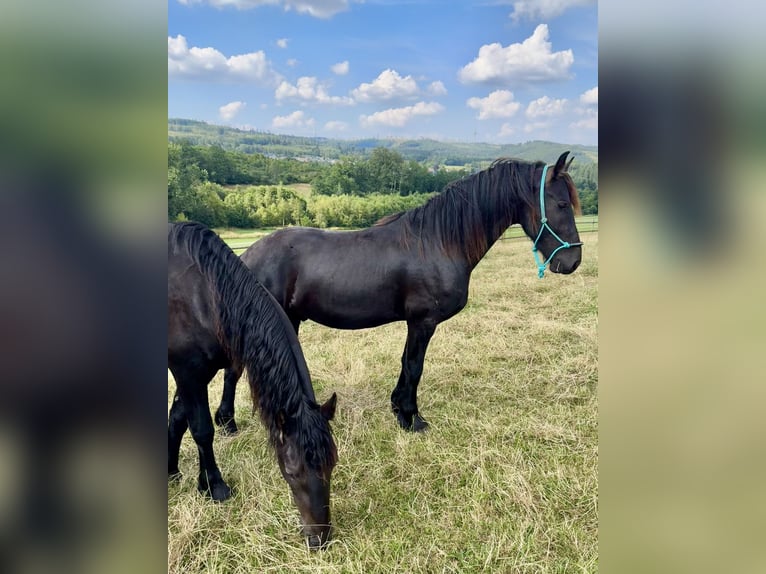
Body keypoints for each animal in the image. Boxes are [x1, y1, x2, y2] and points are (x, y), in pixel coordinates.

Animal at [168, 221, 338, 549]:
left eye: (332, 464)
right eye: (292, 472)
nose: (319, 539)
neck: (204, 295)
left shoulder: (194, 376)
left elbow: (178, 420)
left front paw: (174, 473)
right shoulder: (187, 373)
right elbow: (201, 430)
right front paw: (214, 487)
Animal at [215, 151, 582, 434]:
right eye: (562, 203)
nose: (572, 261)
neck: (438, 241)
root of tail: (245, 256)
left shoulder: (415, 322)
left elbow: (407, 363)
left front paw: (398, 409)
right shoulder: (423, 321)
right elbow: (415, 366)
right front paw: (411, 418)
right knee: (234, 368)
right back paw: (227, 423)